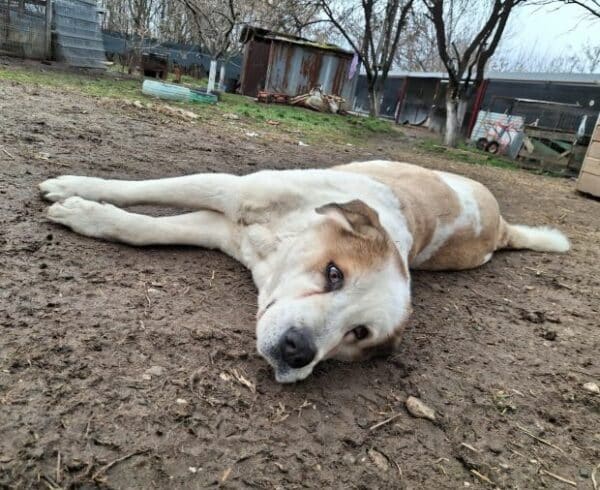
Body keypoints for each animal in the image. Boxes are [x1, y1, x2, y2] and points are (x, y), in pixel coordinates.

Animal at [39, 161, 568, 382]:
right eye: (334, 274)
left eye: (358, 333)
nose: (297, 352)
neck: (279, 243)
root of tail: (500, 227)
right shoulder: (229, 191)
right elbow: (141, 194)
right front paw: (73, 190)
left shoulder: (219, 226)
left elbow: (145, 228)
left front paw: (84, 211)